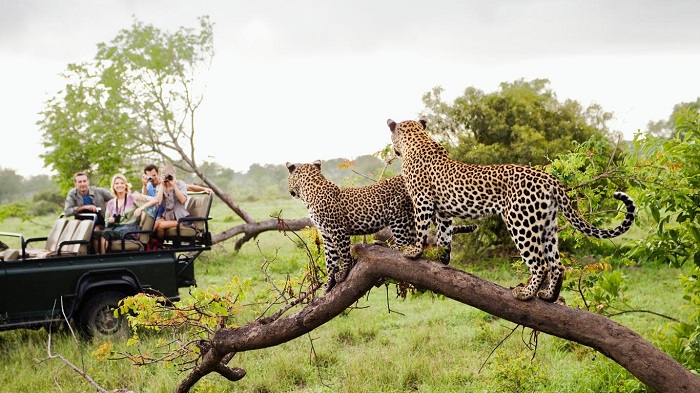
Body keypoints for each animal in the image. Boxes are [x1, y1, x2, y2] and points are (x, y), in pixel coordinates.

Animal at [286, 158, 476, 290]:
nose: (290, 191)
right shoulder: (326, 234)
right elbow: (330, 260)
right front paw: (328, 284)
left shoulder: (338, 230)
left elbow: (344, 254)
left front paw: (343, 273)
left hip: (399, 216)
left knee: (404, 242)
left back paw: (387, 246)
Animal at [386, 116, 636, 300]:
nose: (393, 149)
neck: (417, 140)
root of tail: (551, 179)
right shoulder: (445, 211)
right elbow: (444, 235)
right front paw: (442, 258)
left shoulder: (422, 200)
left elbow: (421, 228)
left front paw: (414, 251)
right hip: (547, 225)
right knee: (557, 264)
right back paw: (548, 296)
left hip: (521, 222)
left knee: (540, 263)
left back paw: (526, 293)